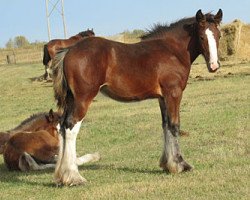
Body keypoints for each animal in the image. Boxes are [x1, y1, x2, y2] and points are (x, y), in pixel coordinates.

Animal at [51, 8, 223, 185]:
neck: (172, 50)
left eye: (219, 35)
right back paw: (73, 176)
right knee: (71, 127)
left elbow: (165, 125)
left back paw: (61, 176)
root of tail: (69, 50)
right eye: (201, 36)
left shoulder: (162, 98)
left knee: (61, 126)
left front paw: (167, 164)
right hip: (83, 99)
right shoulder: (173, 93)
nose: (214, 66)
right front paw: (180, 164)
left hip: (71, 99)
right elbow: (174, 125)